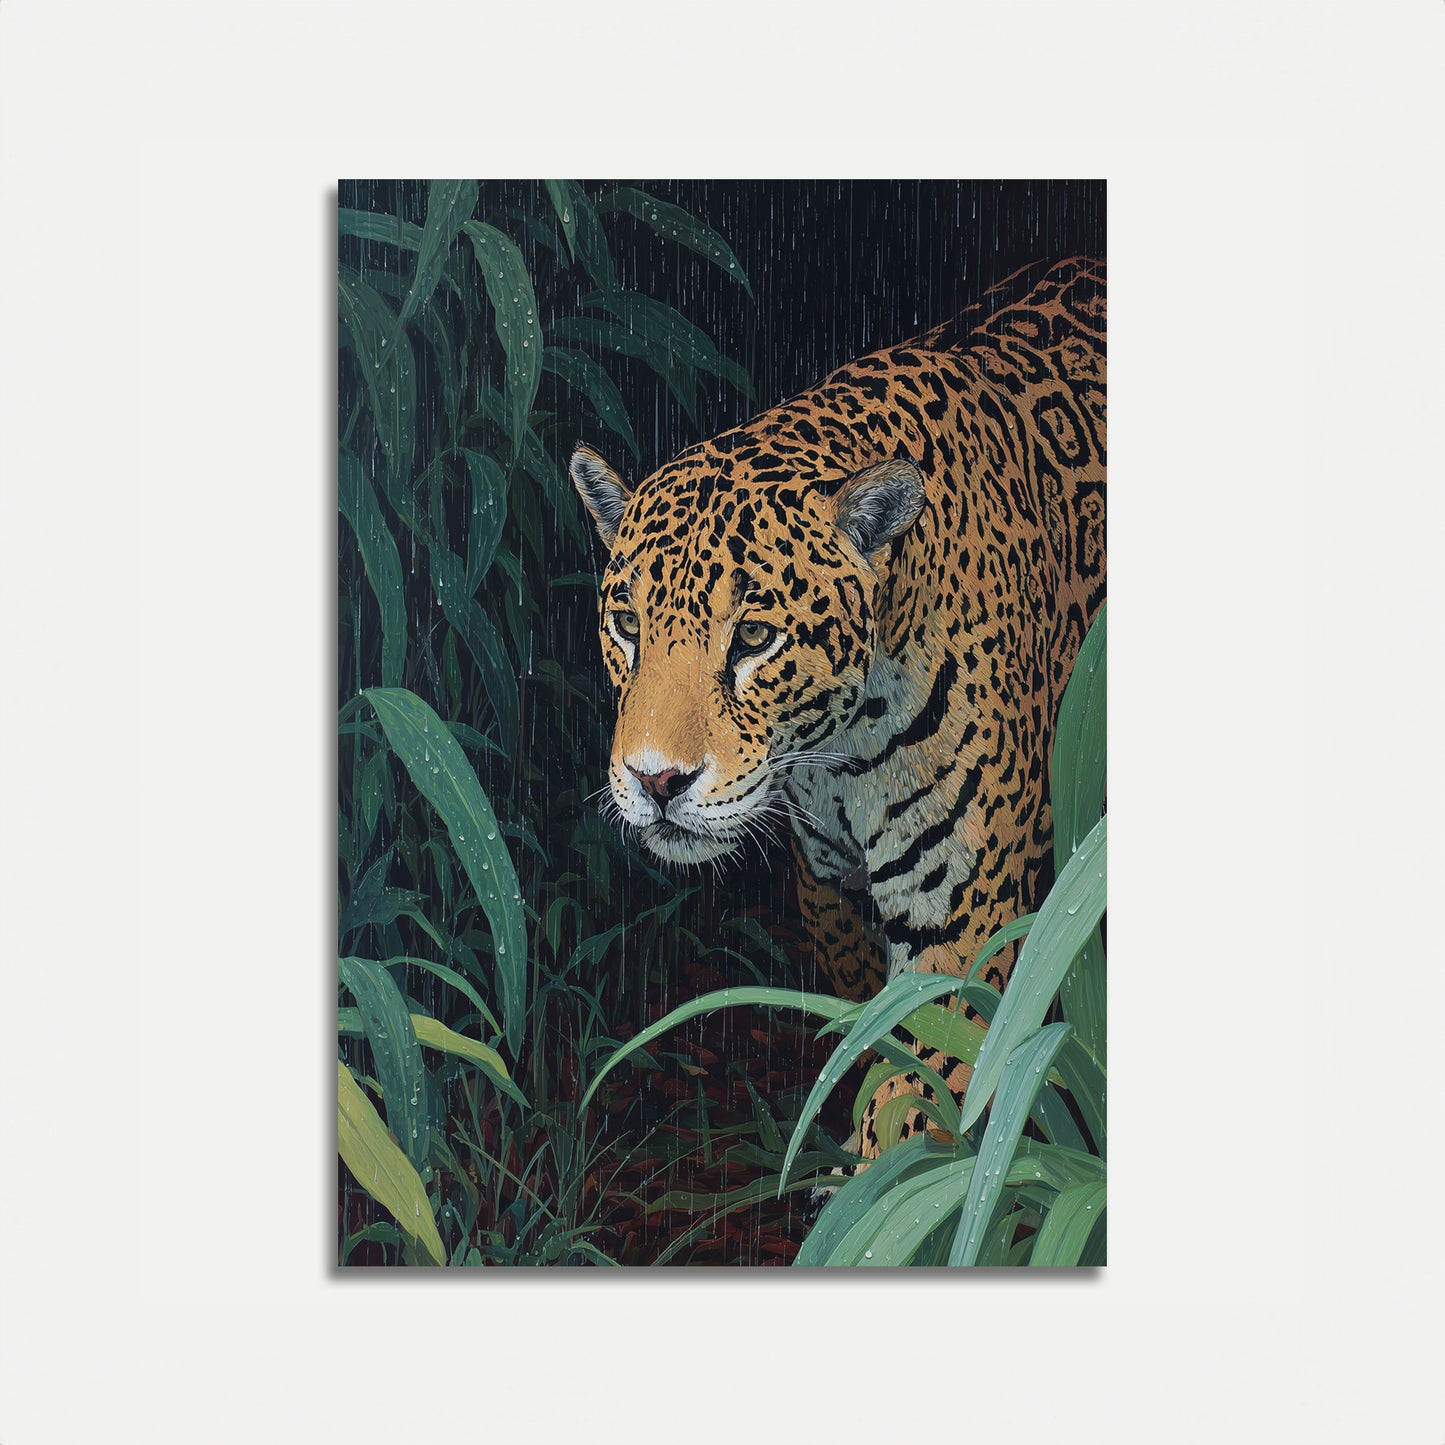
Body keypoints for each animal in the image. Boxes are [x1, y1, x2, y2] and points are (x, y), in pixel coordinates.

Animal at [569, 256, 1105, 1159]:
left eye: (753, 636)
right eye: (627, 626)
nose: (653, 782)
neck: (839, 748)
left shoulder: (963, 920)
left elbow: (913, 1100)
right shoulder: (826, 884)